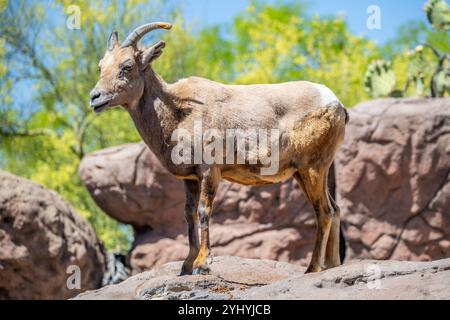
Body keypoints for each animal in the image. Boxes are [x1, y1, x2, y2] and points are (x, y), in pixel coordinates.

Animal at [90, 21, 348, 276]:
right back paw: (332, 265)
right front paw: (187, 266)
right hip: (302, 174)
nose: (95, 97)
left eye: (127, 66)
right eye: (101, 66)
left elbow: (204, 211)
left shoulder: (209, 172)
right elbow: (189, 215)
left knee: (324, 212)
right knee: (334, 210)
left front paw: (202, 264)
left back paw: (312, 268)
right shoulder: (191, 179)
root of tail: (337, 105)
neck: (179, 114)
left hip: (313, 169)